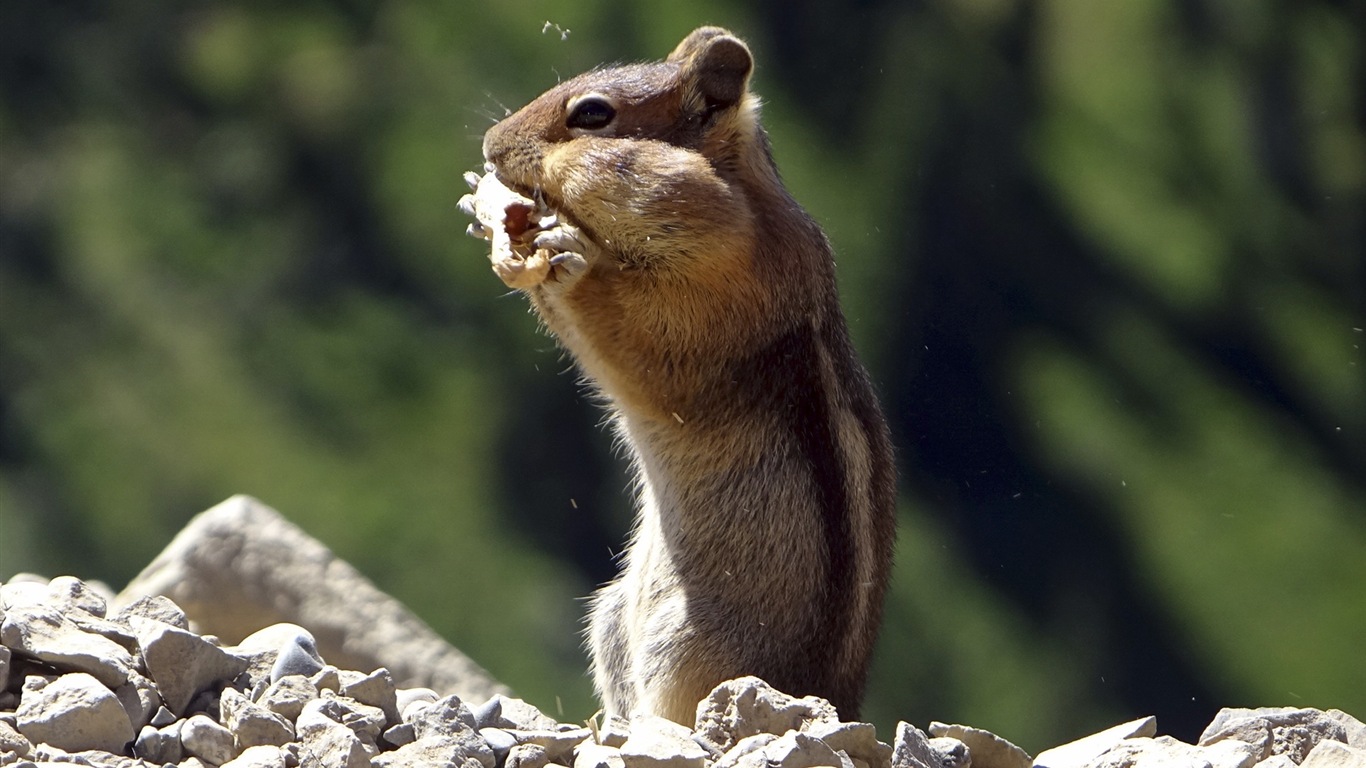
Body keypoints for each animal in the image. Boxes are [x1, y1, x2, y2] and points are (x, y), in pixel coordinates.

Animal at [464, 25, 901, 721]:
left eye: (594, 116)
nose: (490, 145)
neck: (743, 201)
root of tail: (842, 704)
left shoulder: (724, 287)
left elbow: (644, 338)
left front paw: (565, 256)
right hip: (614, 616)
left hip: (690, 643)